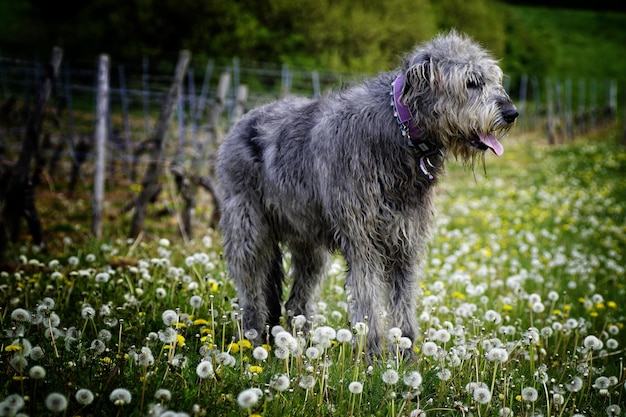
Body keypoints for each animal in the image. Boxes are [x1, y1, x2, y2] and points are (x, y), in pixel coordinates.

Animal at [216, 30, 516, 354]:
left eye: (494, 79)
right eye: (471, 82)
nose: (512, 112)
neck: (399, 131)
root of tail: (242, 121)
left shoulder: (405, 241)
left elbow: (403, 303)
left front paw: (407, 356)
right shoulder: (363, 242)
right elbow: (368, 303)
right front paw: (372, 356)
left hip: (308, 242)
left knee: (297, 300)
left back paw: (303, 347)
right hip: (248, 230)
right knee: (250, 292)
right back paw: (253, 342)